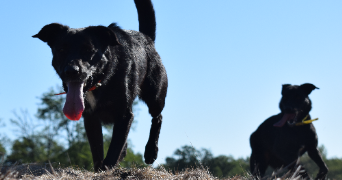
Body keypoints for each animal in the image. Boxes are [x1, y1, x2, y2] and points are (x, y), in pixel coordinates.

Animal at [32, 0, 168, 171]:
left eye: (88, 49)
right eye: (61, 49)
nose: (71, 71)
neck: (102, 82)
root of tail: (146, 38)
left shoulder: (124, 115)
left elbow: (113, 149)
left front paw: (107, 168)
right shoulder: (90, 118)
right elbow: (97, 149)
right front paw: (99, 170)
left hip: (155, 95)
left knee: (158, 117)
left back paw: (151, 151)